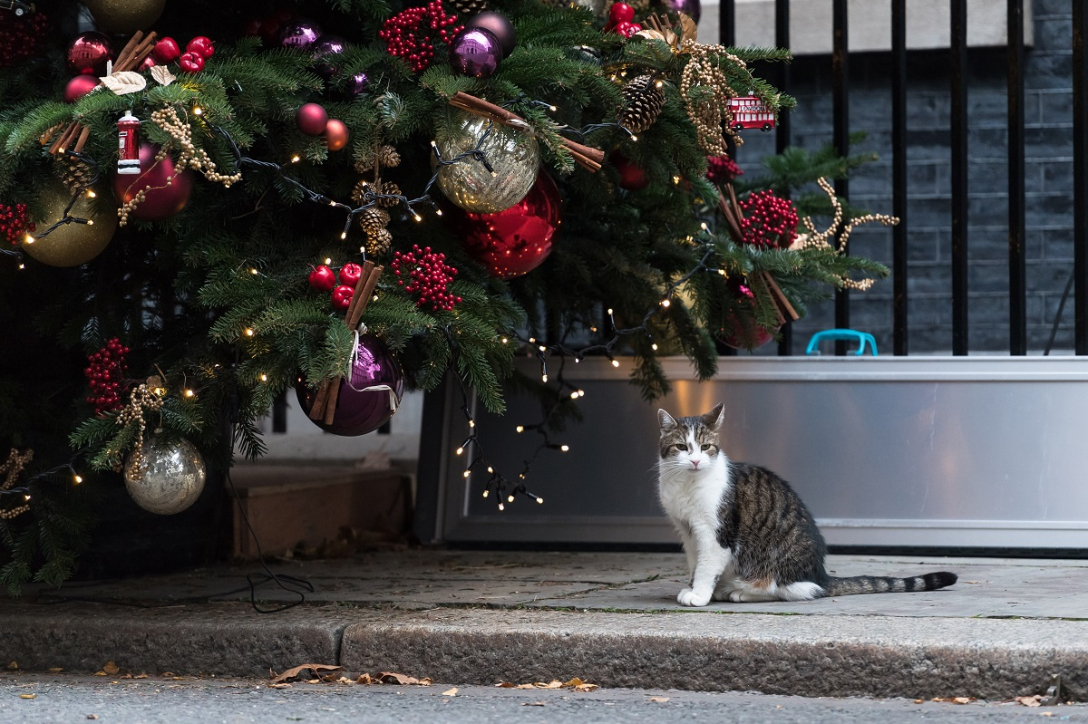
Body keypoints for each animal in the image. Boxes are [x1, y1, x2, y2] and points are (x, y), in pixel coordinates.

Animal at [652, 402, 953, 605]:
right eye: (682, 447)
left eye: (706, 447)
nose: (695, 461)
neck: (686, 485)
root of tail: (821, 574)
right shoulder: (688, 531)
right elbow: (695, 563)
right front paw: (694, 588)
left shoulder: (715, 533)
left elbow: (706, 566)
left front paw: (700, 594)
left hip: (772, 559)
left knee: (791, 590)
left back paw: (738, 591)